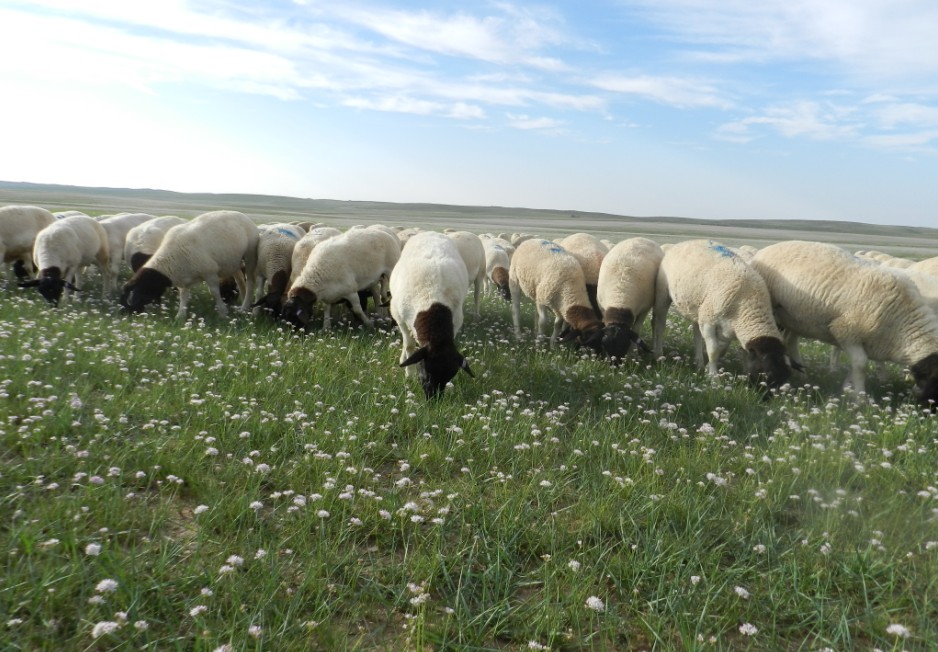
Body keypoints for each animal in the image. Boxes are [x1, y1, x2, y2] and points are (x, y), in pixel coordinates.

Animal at [120, 210, 259, 319]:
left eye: (135, 297)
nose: (129, 315)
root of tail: (241, 214)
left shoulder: (210, 272)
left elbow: (214, 292)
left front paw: (223, 312)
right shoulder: (184, 279)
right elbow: (183, 296)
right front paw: (180, 315)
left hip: (250, 254)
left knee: (250, 282)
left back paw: (245, 306)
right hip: (232, 261)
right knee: (240, 280)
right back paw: (242, 299)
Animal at [390, 231, 475, 398]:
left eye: (449, 377)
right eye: (426, 373)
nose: (433, 399)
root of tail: (431, 232)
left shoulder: (456, 321)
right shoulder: (400, 319)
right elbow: (409, 346)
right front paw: (409, 375)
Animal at [653, 239, 794, 390]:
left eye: (786, 377)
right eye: (768, 373)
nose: (763, 397)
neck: (749, 304)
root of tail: (684, 242)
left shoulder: (728, 328)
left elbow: (721, 349)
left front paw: (707, 368)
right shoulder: (709, 321)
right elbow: (714, 351)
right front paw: (714, 379)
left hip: (699, 308)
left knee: (696, 334)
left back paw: (699, 363)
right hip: (663, 293)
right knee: (660, 324)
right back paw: (659, 354)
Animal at [750, 240, 938, 408]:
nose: (929, 411)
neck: (902, 325)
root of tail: (766, 249)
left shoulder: (868, 343)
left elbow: (856, 366)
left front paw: (847, 389)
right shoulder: (845, 331)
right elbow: (861, 365)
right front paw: (859, 398)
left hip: (794, 318)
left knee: (790, 341)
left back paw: (801, 374)